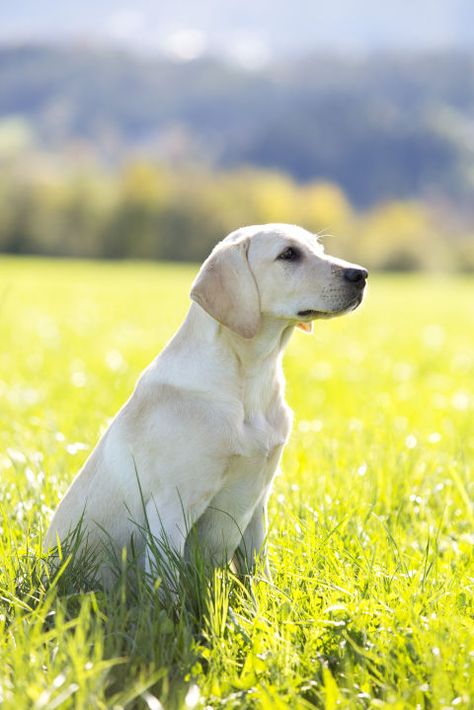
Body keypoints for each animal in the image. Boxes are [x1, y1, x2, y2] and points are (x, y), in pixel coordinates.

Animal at [44, 227, 368, 588]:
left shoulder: (257, 502)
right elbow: (167, 587)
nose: (361, 275)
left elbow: (258, 575)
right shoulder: (172, 505)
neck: (249, 382)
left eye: (318, 249)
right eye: (288, 254)